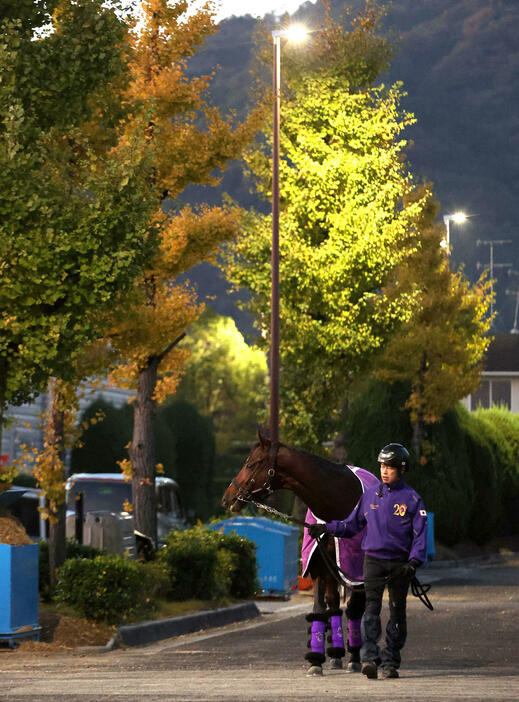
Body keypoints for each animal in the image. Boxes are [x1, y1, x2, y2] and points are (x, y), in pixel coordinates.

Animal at [221, 432, 380, 680]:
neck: (338, 504)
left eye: (250, 463)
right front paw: (316, 662)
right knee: (333, 604)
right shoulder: (318, 566)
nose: (227, 497)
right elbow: (318, 610)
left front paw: (355, 659)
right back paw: (335, 655)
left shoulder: (356, 571)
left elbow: (355, 608)